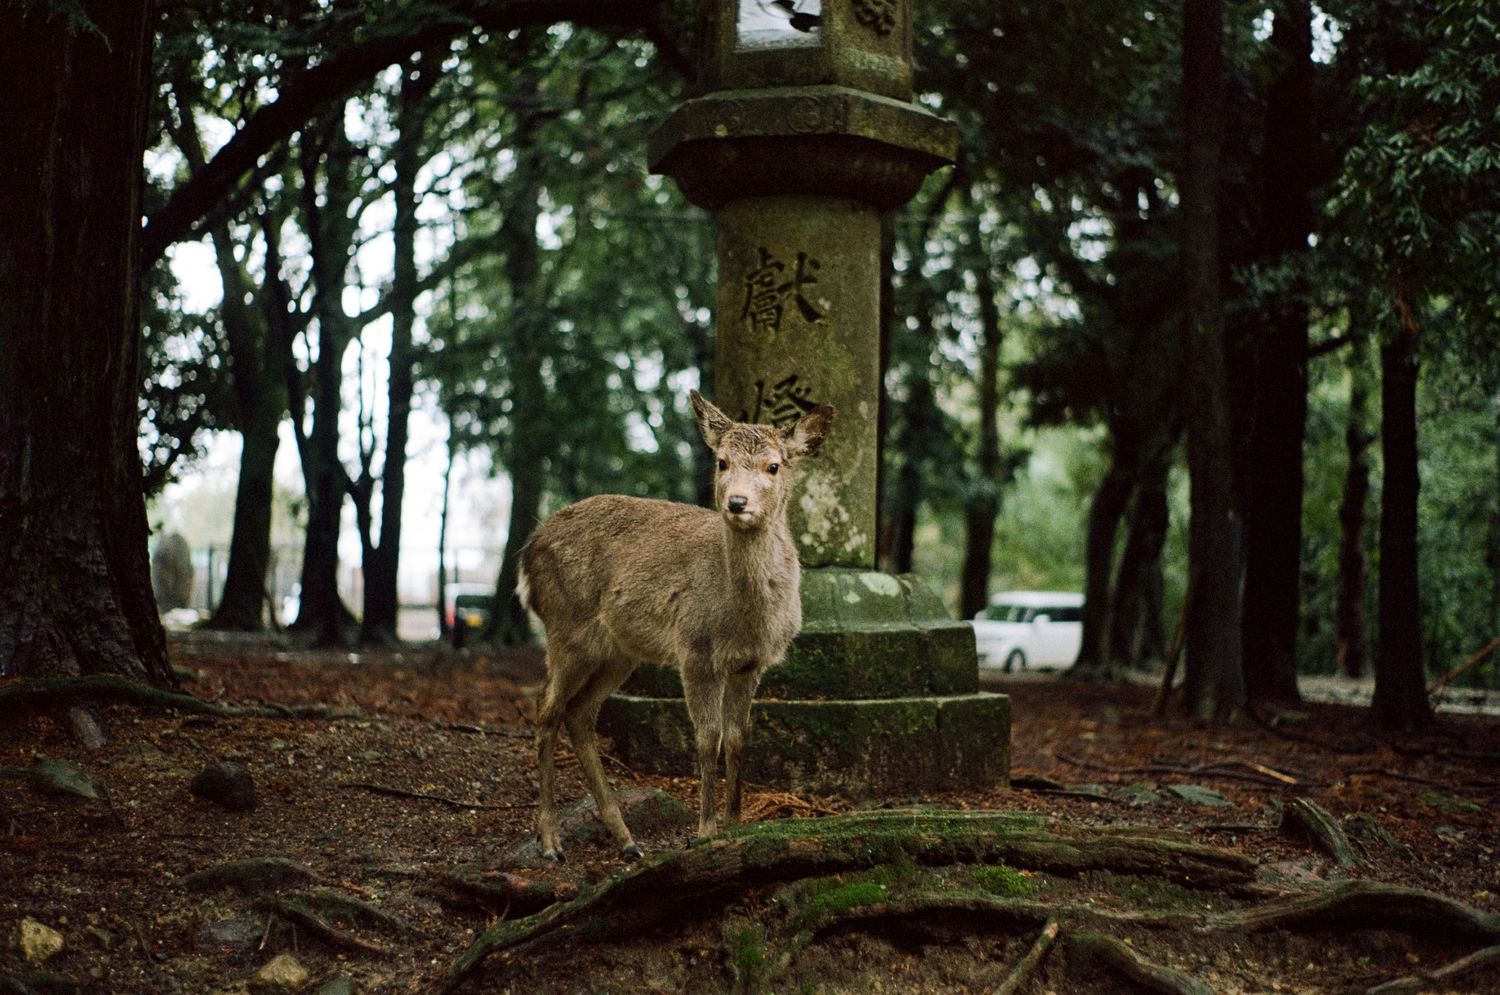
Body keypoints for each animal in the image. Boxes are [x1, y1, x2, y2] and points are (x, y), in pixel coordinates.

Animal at [519, 389, 834, 861]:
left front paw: (735, 824)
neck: (745, 618)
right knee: (546, 707)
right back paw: (551, 842)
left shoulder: (750, 664)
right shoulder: (695, 648)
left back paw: (628, 841)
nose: (737, 502)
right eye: (721, 461)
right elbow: (707, 737)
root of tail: (527, 551)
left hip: (617, 651)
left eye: (774, 465)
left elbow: (738, 737)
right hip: (566, 627)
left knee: (579, 713)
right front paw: (703, 831)